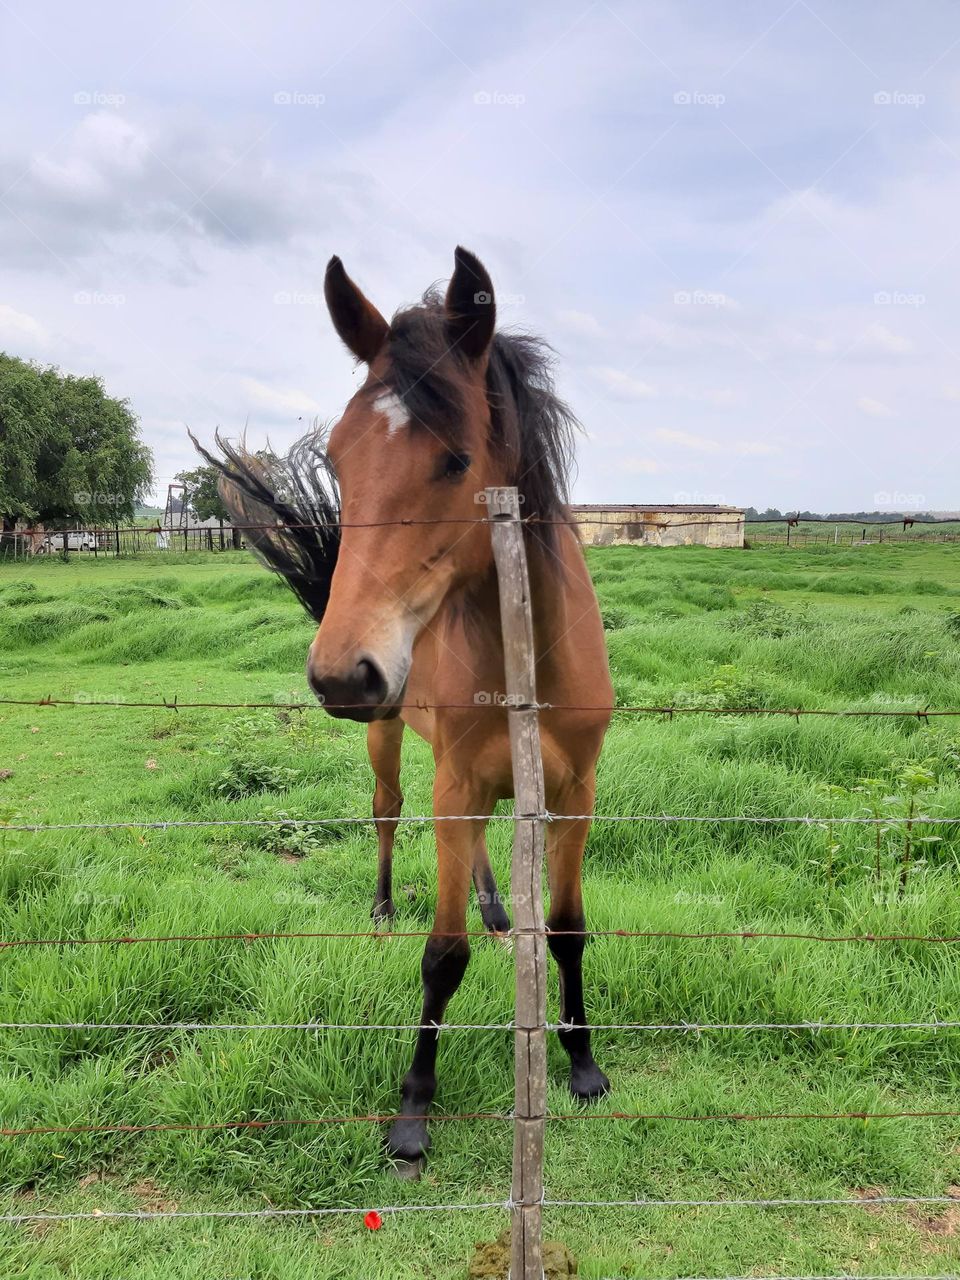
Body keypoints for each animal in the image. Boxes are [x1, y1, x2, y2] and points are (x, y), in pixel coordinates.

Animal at [195, 247, 613, 1163]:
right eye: (340, 459)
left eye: (456, 460)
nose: (341, 673)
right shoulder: (455, 784)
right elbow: (441, 956)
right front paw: (414, 1109)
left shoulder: (575, 792)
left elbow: (567, 927)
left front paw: (583, 1063)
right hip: (392, 743)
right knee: (387, 812)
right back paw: (385, 907)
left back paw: (496, 912)